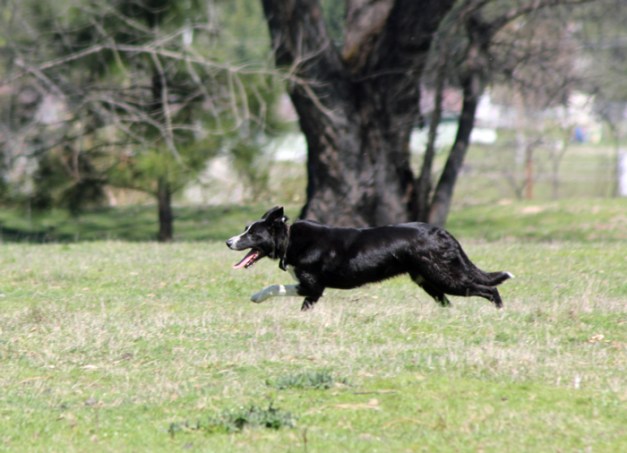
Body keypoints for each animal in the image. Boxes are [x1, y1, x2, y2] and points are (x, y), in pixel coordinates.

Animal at [226, 206, 513, 311]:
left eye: (252, 234)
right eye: (245, 229)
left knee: (488, 289)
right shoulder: (309, 288)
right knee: (448, 302)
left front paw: (258, 296)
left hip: (445, 276)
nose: (228, 242)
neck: (290, 240)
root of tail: (443, 232)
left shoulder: (312, 287)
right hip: (428, 281)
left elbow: (280, 289)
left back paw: (499, 312)